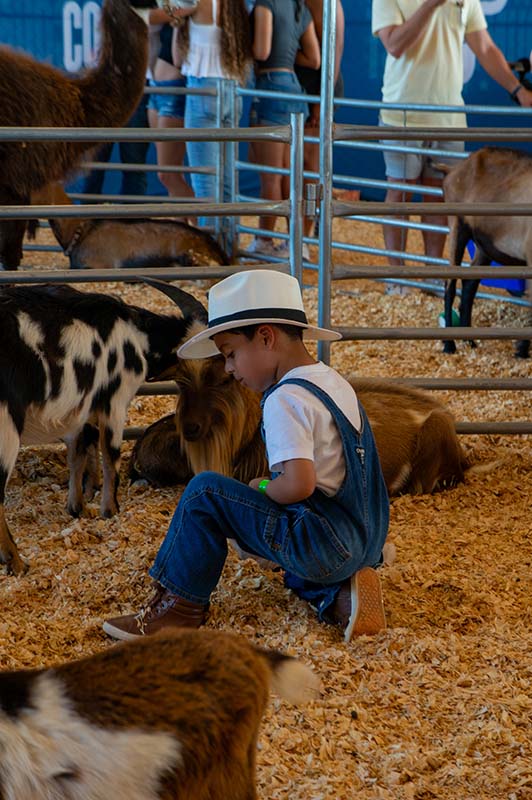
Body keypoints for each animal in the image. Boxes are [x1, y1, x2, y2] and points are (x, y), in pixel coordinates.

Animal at [0, 282, 206, 576]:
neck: (136, 336)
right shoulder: (114, 402)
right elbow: (111, 457)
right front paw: (110, 510)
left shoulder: (81, 410)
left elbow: (78, 455)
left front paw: (78, 507)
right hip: (6, 430)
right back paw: (15, 561)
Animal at [438, 148, 528, 360]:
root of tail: (454, 169)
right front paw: (522, 349)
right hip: (458, 226)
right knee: (450, 283)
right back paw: (449, 344)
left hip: (483, 246)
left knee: (469, 283)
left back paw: (469, 340)